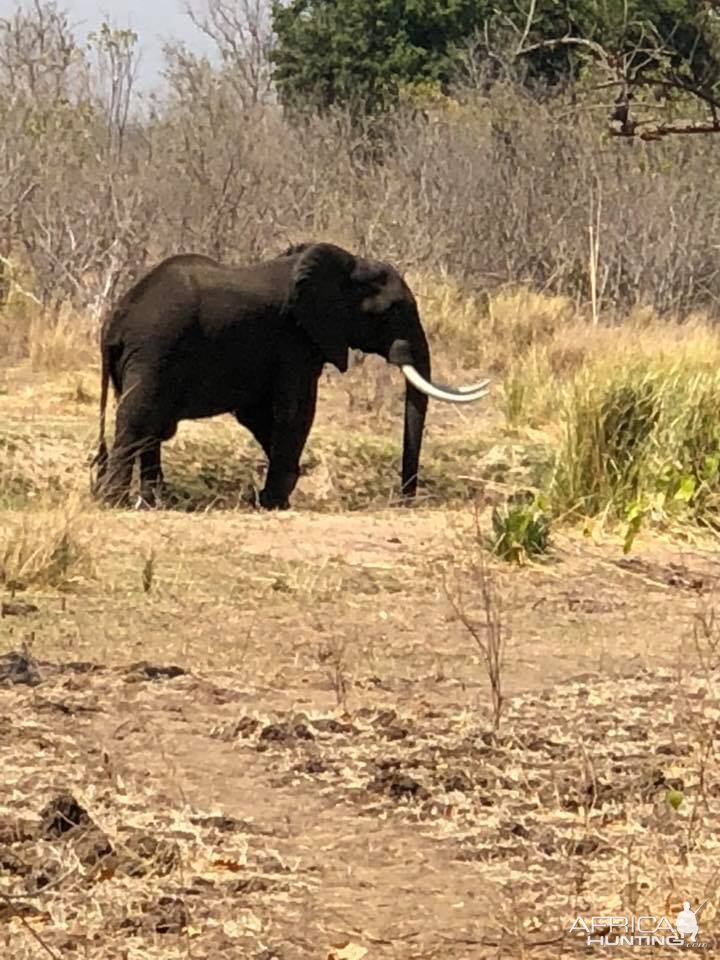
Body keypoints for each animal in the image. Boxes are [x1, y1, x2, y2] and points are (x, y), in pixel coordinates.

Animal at [94, 240, 490, 510]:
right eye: (391, 310)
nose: (404, 500)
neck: (345, 266)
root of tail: (115, 322)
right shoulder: (295, 339)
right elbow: (296, 410)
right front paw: (275, 501)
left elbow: (259, 416)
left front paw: (276, 494)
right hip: (154, 350)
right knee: (137, 420)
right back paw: (116, 501)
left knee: (152, 427)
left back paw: (155, 501)